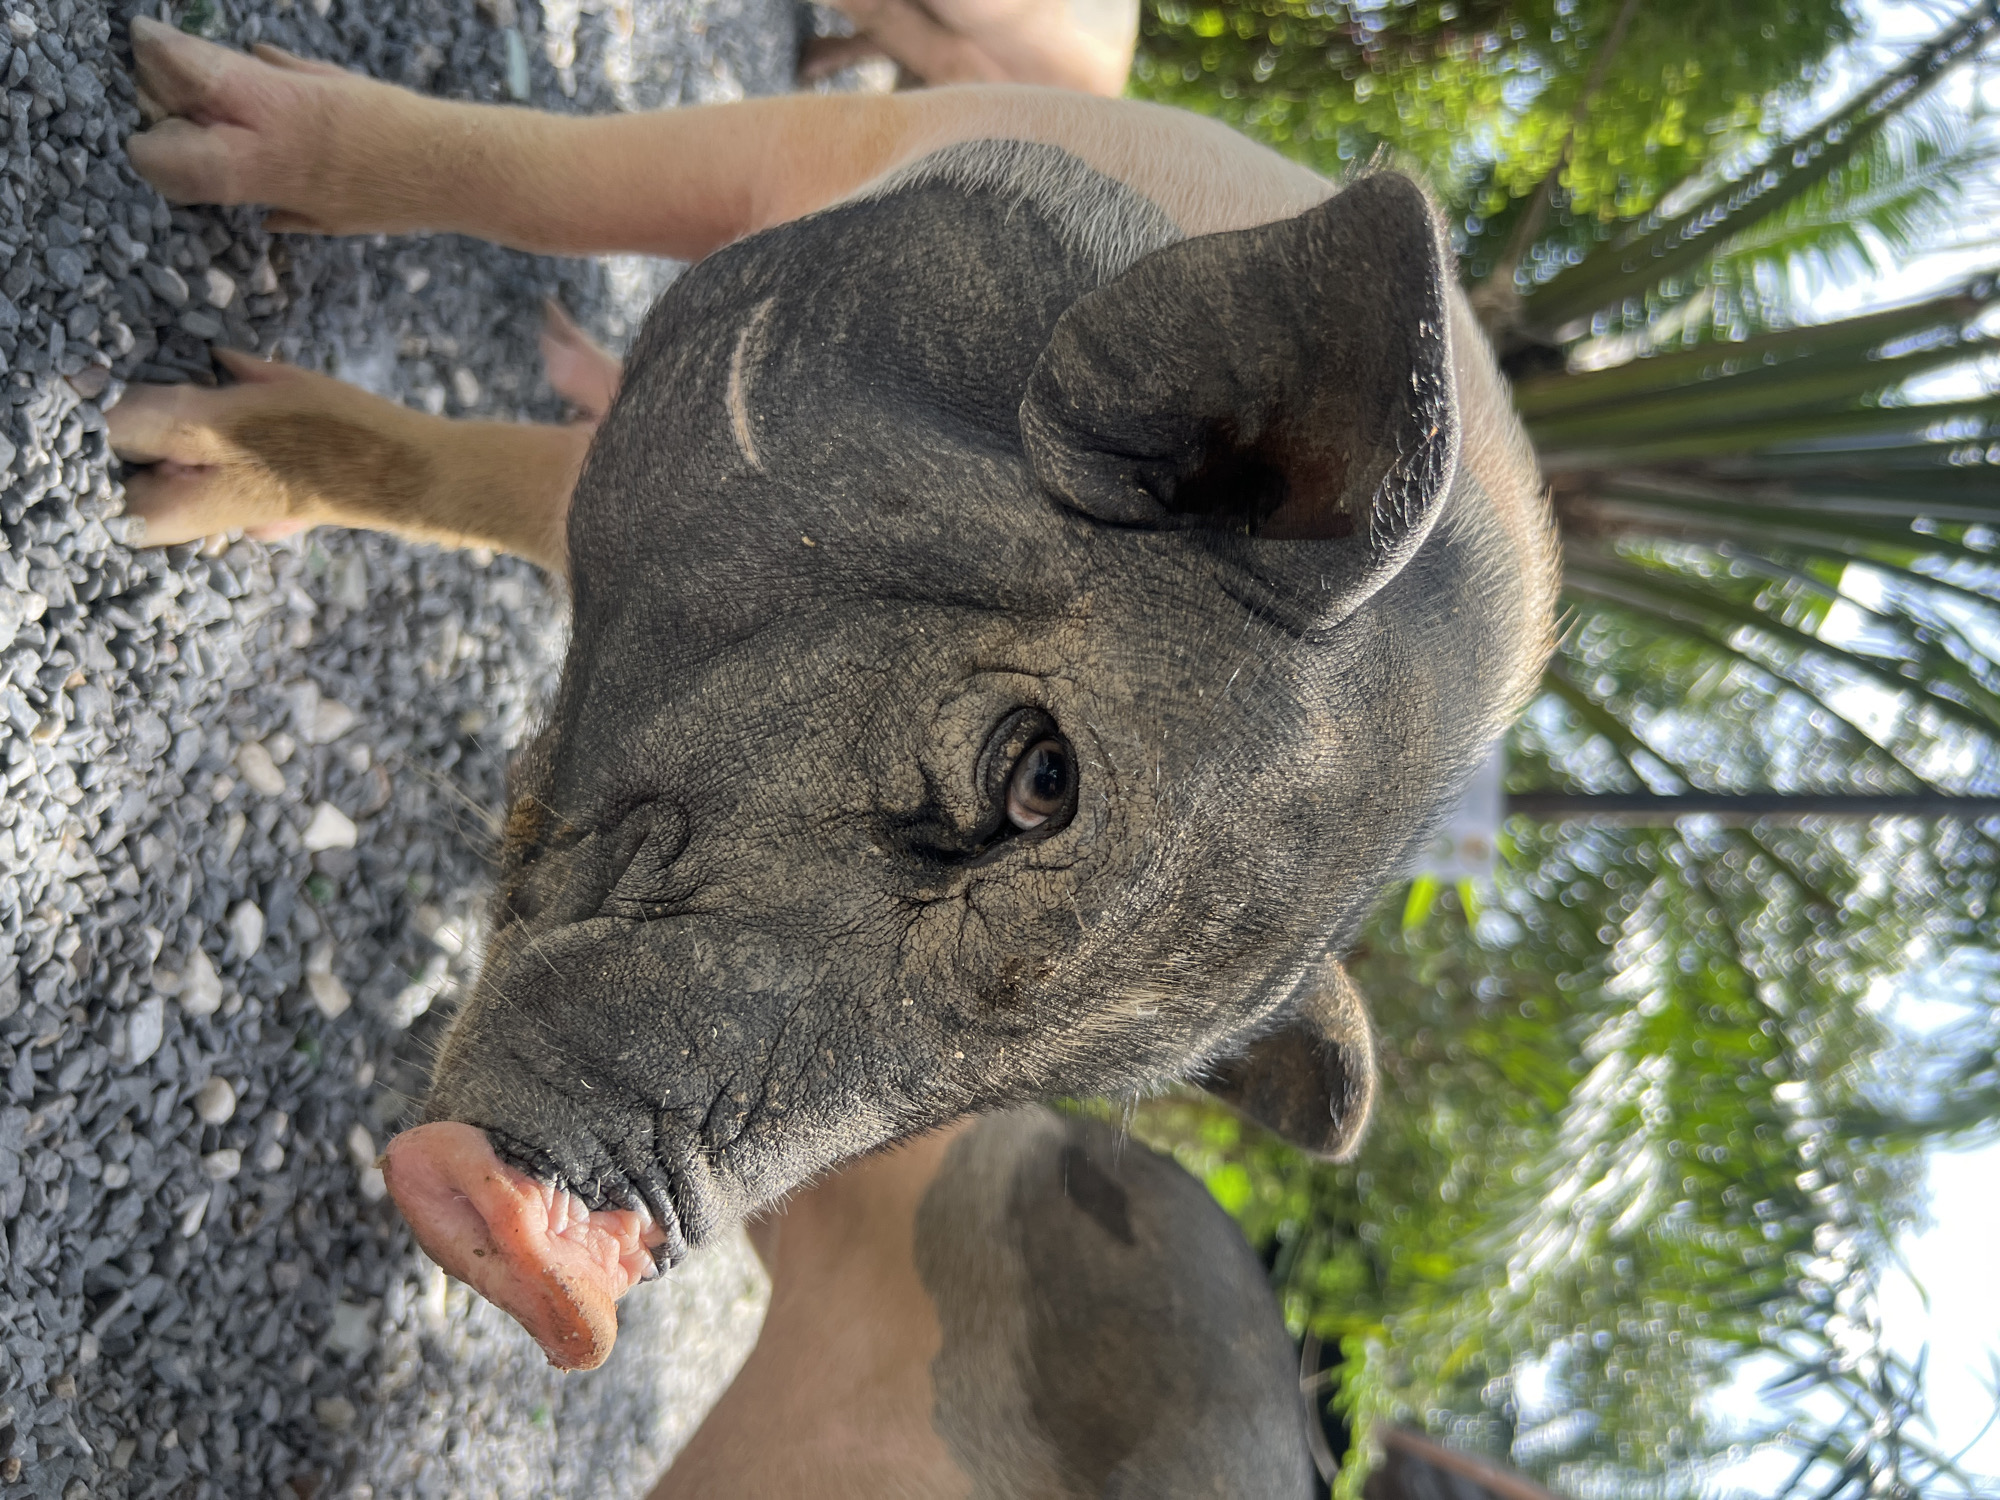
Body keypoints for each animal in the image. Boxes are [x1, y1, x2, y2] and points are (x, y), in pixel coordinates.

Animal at [111, 18, 1558, 1369]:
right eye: (1040, 774)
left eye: (1067, 1078)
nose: (571, 1280)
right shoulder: (820, 149)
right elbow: (530, 178)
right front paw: (171, 152)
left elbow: (475, 478)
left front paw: (156, 472)